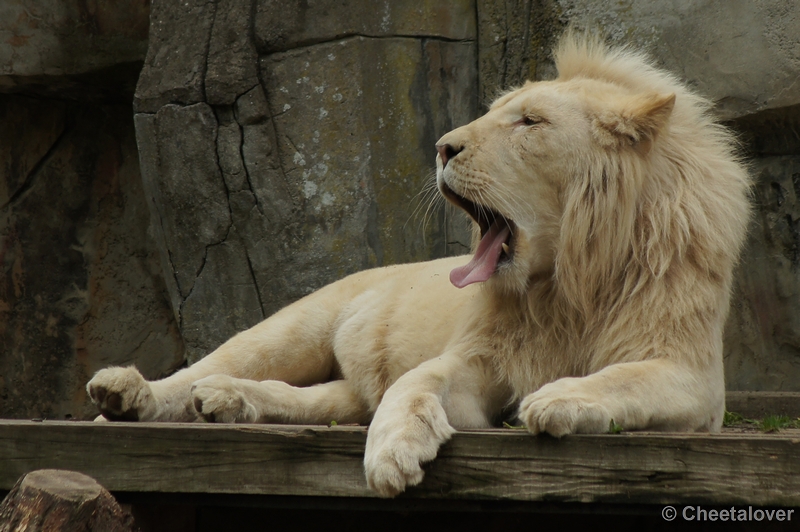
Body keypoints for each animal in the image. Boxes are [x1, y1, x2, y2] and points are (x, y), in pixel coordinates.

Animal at [87, 33, 752, 496]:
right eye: (499, 110)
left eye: (529, 121)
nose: (442, 148)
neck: (567, 283)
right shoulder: (478, 360)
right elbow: (417, 382)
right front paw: (392, 455)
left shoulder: (696, 379)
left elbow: (624, 377)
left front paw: (557, 400)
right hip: (298, 324)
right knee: (213, 366)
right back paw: (127, 394)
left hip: (339, 390)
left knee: (313, 398)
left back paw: (225, 400)